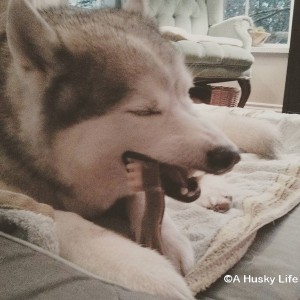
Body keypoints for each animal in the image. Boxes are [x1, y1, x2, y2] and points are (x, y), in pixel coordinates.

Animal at [0, 0, 282, 300]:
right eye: (144, 111)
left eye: (186, 93)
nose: (230, 156)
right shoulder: (14, 196)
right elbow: (60, 219)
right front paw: (144, 267)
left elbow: (144, 196)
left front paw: (168, 238)